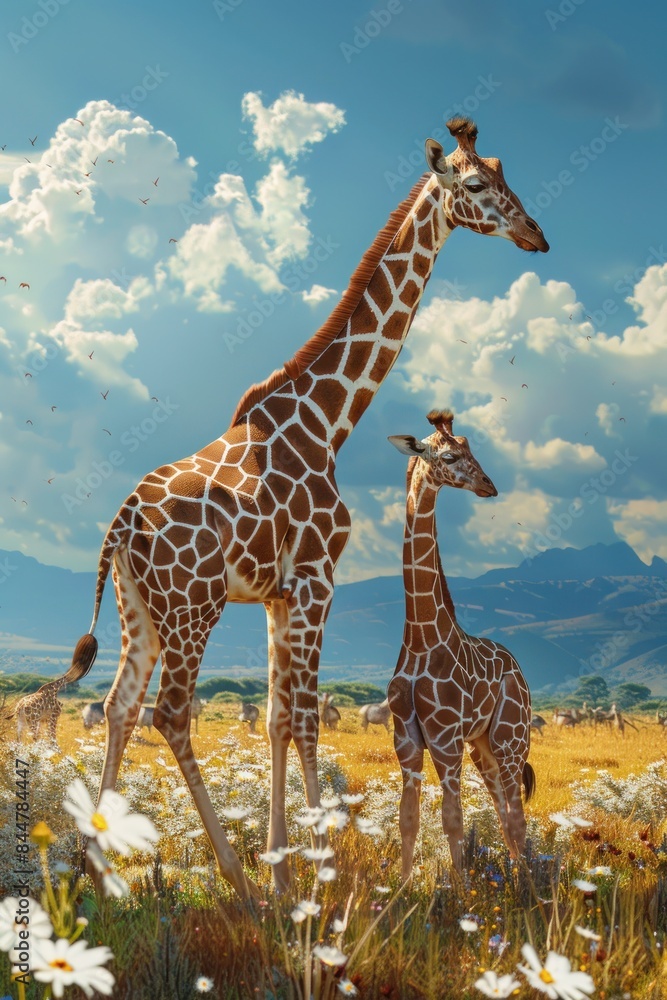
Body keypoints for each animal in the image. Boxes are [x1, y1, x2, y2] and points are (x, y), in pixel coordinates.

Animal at [387, 409, 534, 876]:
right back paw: (519, 876)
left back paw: (528, 884)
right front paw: (400, 887)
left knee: (516, 816)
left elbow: (453, 818)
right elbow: (408, 818)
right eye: (450, 456)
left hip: (511, 738)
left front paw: (461, 888)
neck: (421, 637)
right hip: (483, 746)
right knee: (504, 811)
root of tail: (518, 669)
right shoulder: (407, 740)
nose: (489, 485)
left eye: (473, 450)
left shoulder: (445, 737)